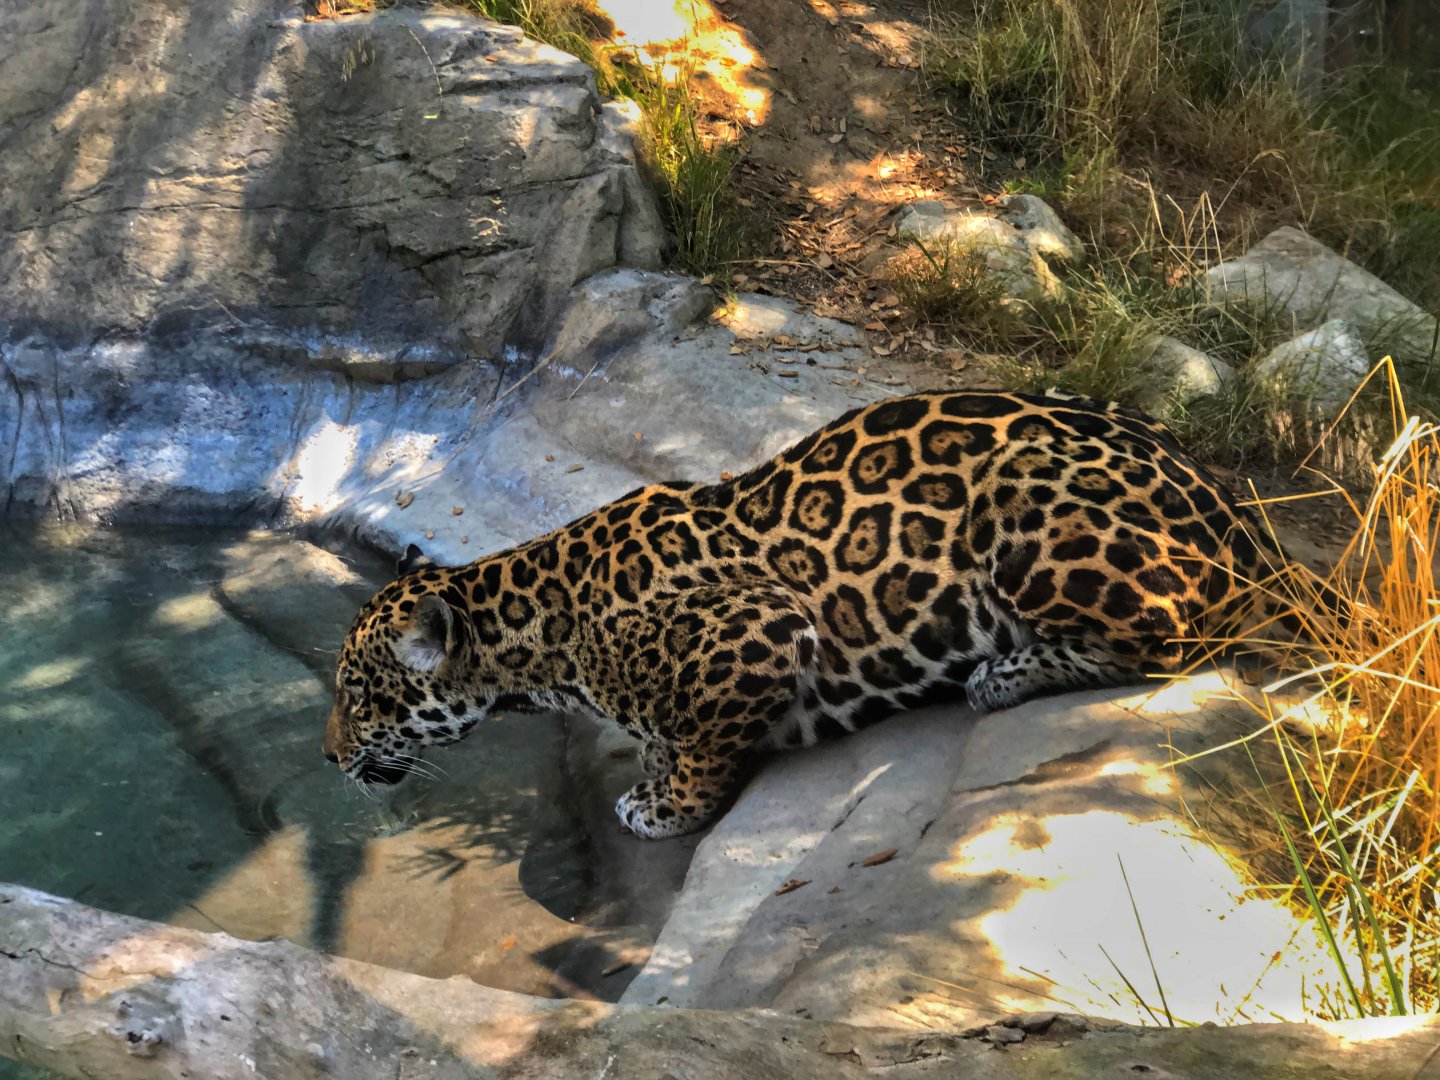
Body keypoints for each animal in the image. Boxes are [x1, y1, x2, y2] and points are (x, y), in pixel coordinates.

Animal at [323, 389, 1280, 839]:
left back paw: (1003, 674)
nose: (329, 757)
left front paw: (666, 806)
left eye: (361, 699)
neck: (535, 641)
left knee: (1179, 634)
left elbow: (703, 747)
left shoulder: (757, 630)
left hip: (1029, 501)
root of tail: (1243, 517)